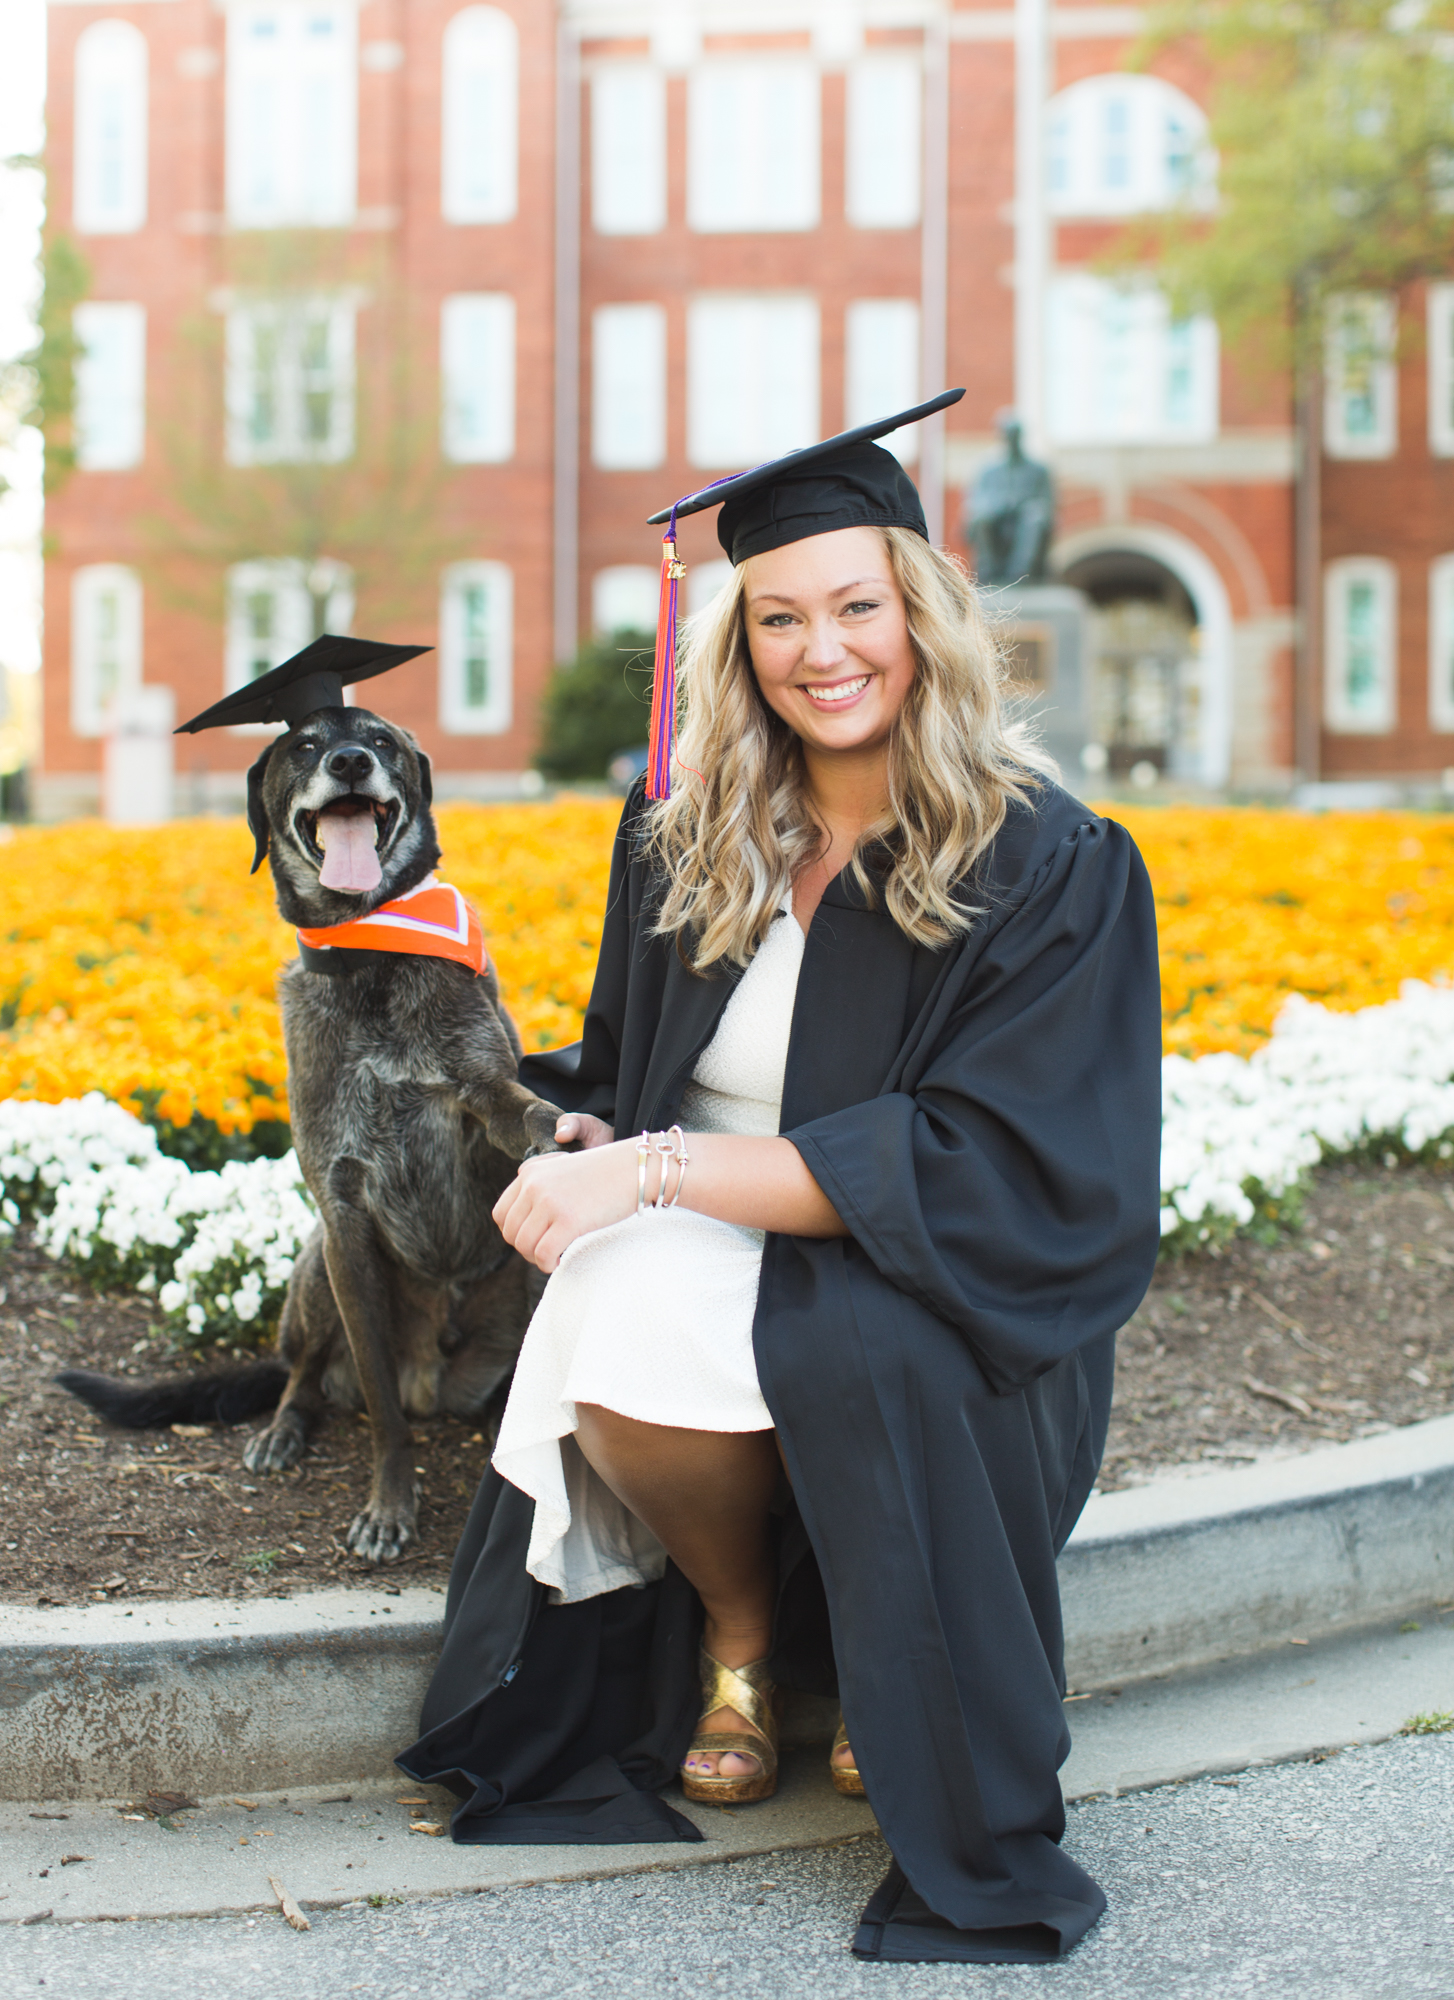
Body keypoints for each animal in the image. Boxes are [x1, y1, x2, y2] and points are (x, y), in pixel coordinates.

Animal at [58, 704, 556, 1560]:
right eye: (305, 745)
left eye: (383, 740)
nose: (351, 761)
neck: (371, 953)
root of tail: (435, 1385)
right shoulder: (344, 1215)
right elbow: (383, 1417)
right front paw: (390, 1508)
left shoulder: (480, 1101)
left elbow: (515, 1106)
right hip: (316, 1269)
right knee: (304, 1380)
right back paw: (284, 1432)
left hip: (515, 1285)